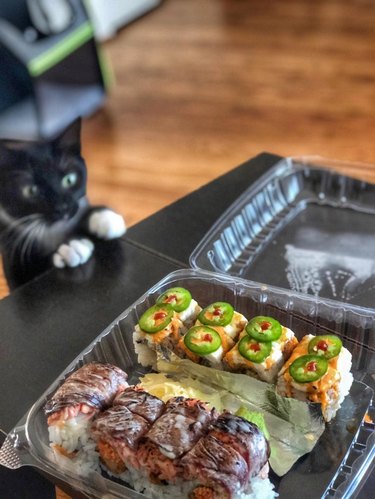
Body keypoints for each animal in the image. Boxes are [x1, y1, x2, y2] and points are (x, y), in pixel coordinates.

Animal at [0, 120, 126, 290]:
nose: (62, 208)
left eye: (69, 179)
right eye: (31, 190)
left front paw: (104, 218)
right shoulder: (11, 255)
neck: (56, 230)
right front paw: (71, 247)